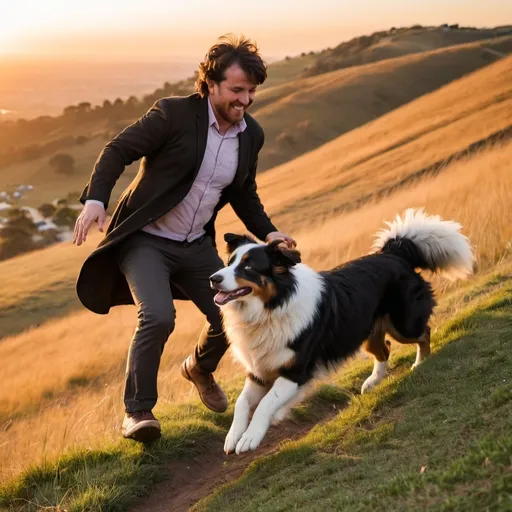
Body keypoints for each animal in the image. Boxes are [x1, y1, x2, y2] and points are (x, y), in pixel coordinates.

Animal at [210, 210, 474, 454]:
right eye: (229, 263)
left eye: (248, 267)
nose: (213, 278)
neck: (270, 307)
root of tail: (393, 252)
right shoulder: (259, 370)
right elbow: (242, 402)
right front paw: (233, 436)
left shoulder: (296, 371)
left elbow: (266, 403)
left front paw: (250, 437)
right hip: (367, 330)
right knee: (384, 350)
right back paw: (372, 382)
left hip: (404, 324)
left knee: (424, 332)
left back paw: (419, 363)